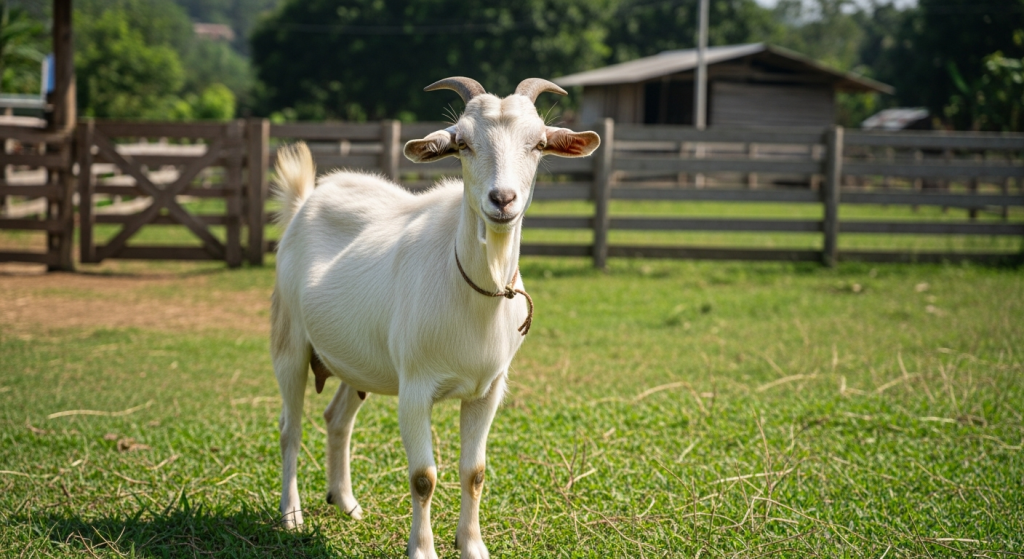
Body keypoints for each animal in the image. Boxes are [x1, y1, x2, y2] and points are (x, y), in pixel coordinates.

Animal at [270, 76, 600, 559]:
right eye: (462, 143)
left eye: (539, 143)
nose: (502, 199)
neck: (475, 295)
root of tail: (306, 201)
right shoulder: (415, 387)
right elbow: (423, 477)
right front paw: (423, 550)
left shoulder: (488, 390)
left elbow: (474, 472)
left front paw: (474, 546)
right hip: (290, 340)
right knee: (290, 429)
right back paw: (291, 516)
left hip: (357, 359)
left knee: (337, 419)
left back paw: (346, 502)